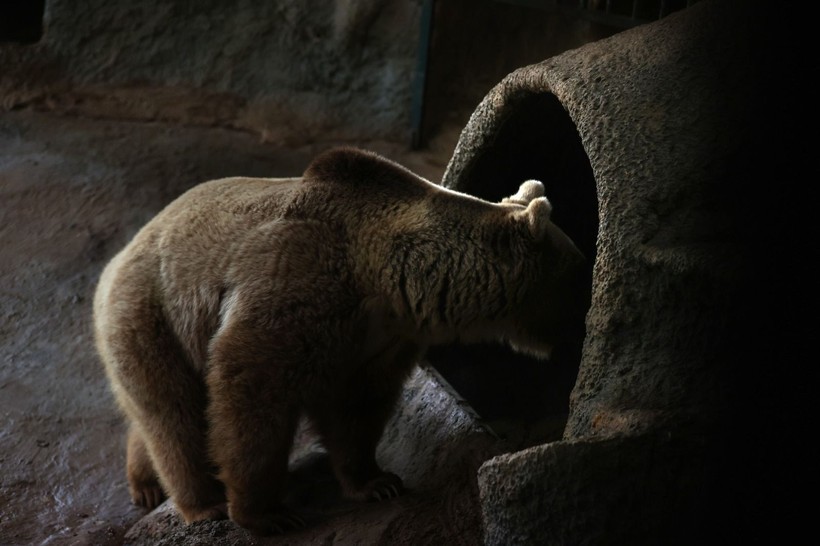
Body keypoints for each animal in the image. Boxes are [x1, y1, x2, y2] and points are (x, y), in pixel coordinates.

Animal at [91, 144, 588, 532]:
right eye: (578, 276)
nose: (583, 326)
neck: (387, 277)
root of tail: (117, 259)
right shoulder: (299, 288)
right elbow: (251, 387)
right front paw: (266, 512)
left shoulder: (379, 341)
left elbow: (357, 410)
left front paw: (377, 482)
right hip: (154, 314)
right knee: (174, 414)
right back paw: (203, 502)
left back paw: (146, 484)